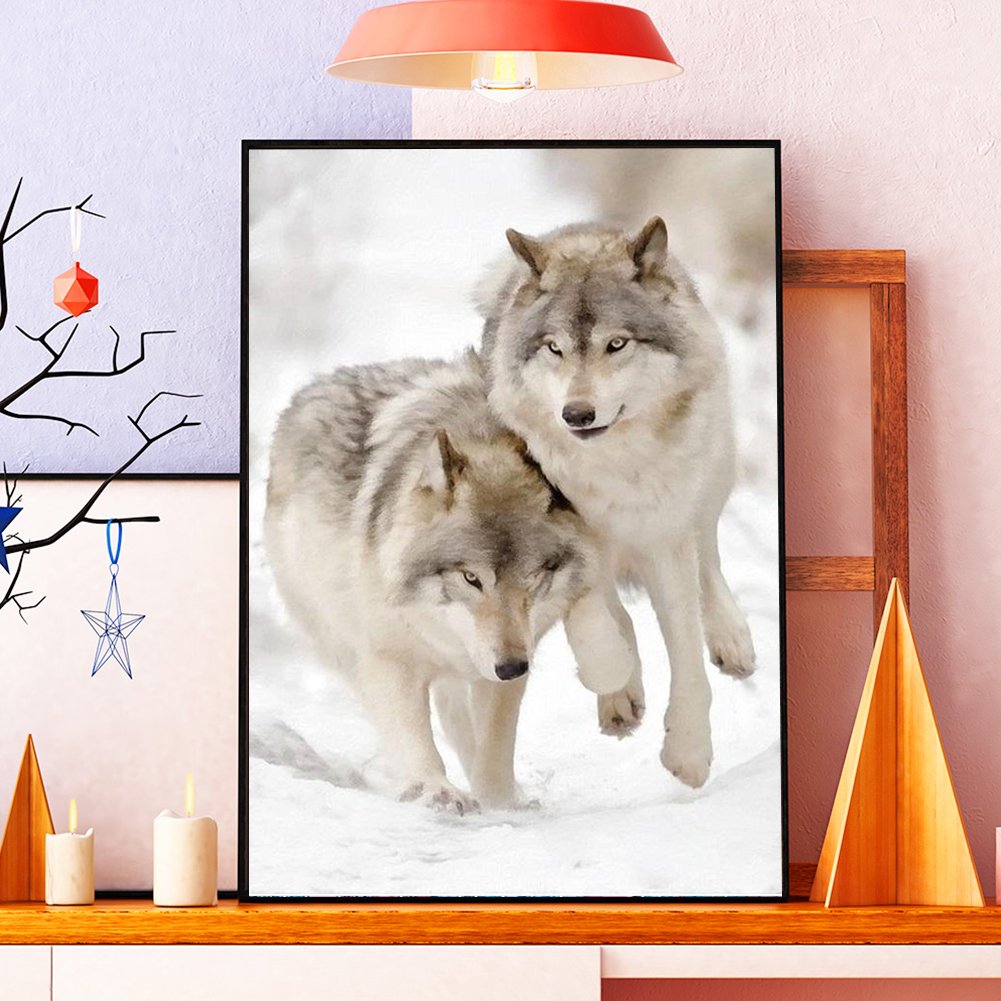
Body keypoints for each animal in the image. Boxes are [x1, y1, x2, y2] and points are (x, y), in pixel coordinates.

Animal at [264, 352, 637, 813]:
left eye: (533, 577)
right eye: (471, 578)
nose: (511, 667)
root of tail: (310, 390)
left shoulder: (508, 659)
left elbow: (494, 747)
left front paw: (500, 802)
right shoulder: (391, 660)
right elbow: (415, 738)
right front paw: (435, 790)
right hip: (343, 643)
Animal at [479, 217, 757, 789]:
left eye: (616, 344)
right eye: (555, 348)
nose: (576, 414)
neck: (614, 470)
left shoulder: (666, 535)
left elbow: (687, 653)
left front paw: (689, 753)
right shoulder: (566, 532)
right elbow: (596, 623)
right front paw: (614, 680)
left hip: (711, 480)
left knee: (710, 561)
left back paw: (733, 642)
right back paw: (621, 697)